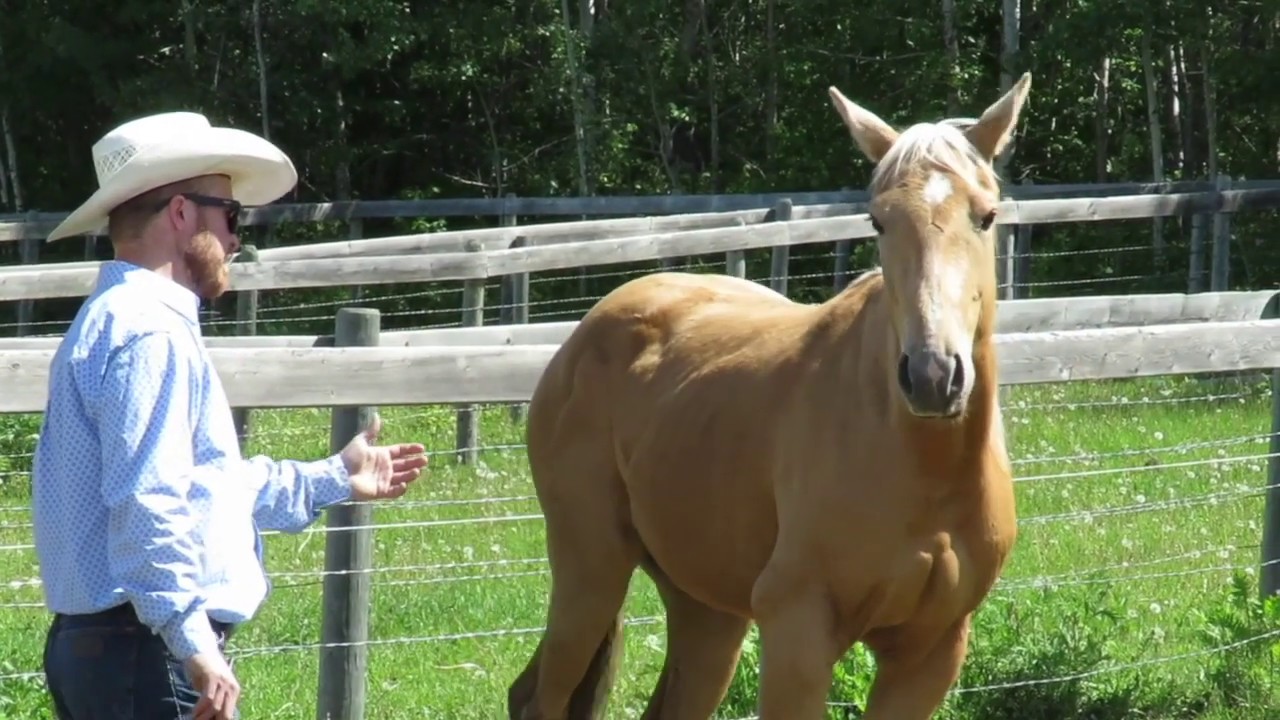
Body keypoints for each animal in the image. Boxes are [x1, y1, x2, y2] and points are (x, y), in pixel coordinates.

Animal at [507, 71, 1032, 720]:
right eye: (878, 221)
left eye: (986, 216)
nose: (933, 375)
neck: (922, 467)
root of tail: (586, 334)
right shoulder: (797, 631)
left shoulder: (931, 651)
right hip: (591, 570)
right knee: (537, 696)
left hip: (705, 611)